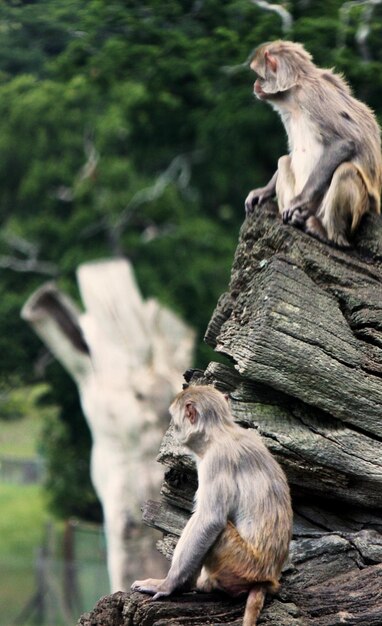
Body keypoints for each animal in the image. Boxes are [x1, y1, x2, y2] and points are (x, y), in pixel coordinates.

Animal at [131, 382, 292, 620]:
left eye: (174, 418)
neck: (221, 432)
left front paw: (167, 586)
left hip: (241, 565)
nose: (173, 428)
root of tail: (267, 580)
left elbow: (210, 520)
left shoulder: (216, 460)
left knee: (218, 529)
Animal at [245, 39, 382, 246]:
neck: (293, 94)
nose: (254, 84)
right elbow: (291, 154)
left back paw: (327, 234)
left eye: (258, 76)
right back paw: (297, 219)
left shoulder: (310, 95)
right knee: (284, 160)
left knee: (346, 170)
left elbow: (345, 141)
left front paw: (299, 200)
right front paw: (263, 191)